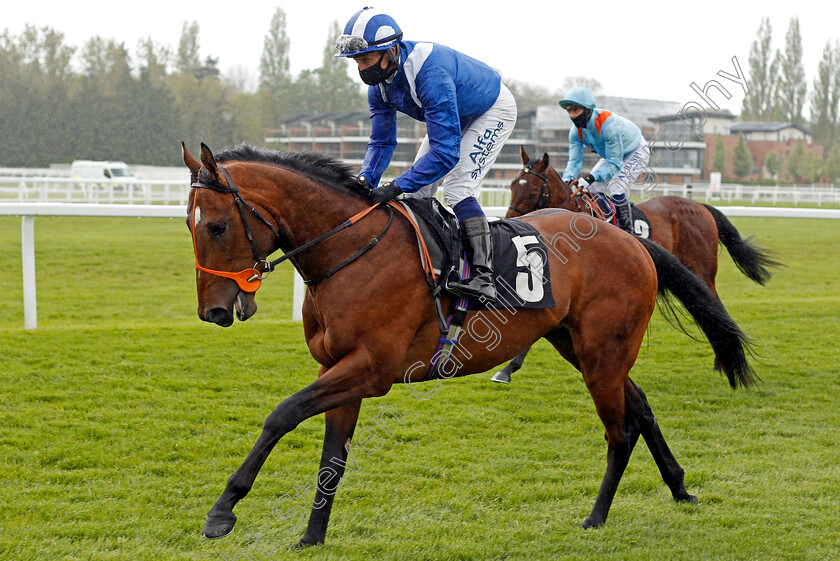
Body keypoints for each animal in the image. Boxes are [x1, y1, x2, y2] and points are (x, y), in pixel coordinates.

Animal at [492, 148, 780, 384]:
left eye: (532, 191)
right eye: (511, 186)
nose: (509, 228)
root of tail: (700, 205)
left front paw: (507, 368)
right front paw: (507, 368)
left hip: (702, 269)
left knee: (713, 303)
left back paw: (721, 360)